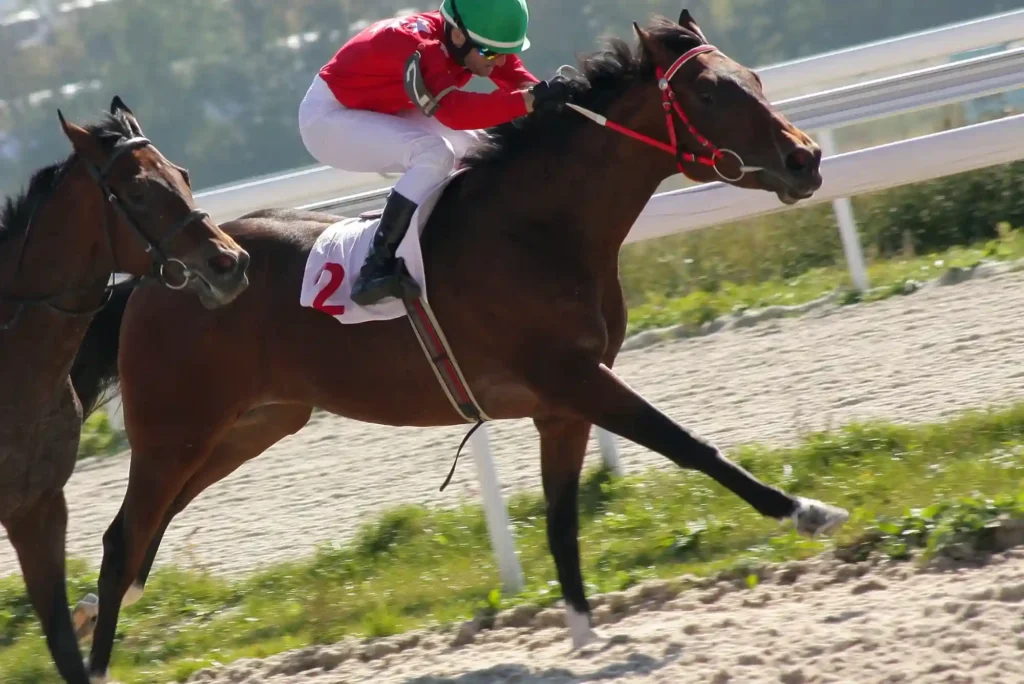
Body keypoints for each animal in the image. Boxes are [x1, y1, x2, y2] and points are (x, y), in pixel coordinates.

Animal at [70, 11, 848, 680]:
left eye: (753, 77)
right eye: (712, 93)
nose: (806, 159)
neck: (540, 228)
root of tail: (154, 276)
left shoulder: (560, 406)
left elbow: (562, 521)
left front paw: (583, 634)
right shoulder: (577, 378)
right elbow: (689, 445)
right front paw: (807, 511)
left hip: (247, 426)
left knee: (143, 535)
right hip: (175, 431)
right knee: (121, 541)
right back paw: (97, 659)